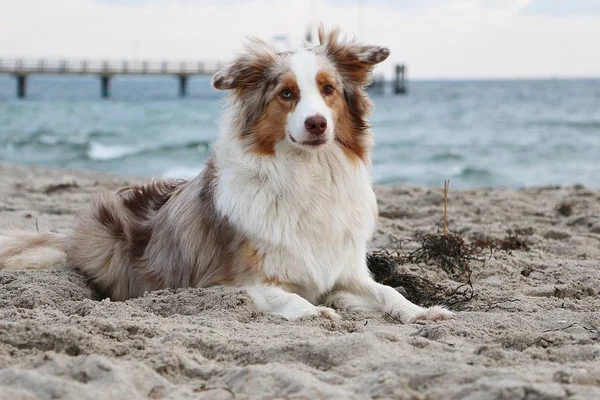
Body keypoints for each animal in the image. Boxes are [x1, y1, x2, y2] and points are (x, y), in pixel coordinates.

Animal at [0, 26, 450, 324]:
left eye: (328, 90)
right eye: (287, 94)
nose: (317, 123)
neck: (306, 175)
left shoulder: (343, 272)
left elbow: (387, 290)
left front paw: (423, 310)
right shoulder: (232, 282)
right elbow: (291, 300)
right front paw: (319, 312)